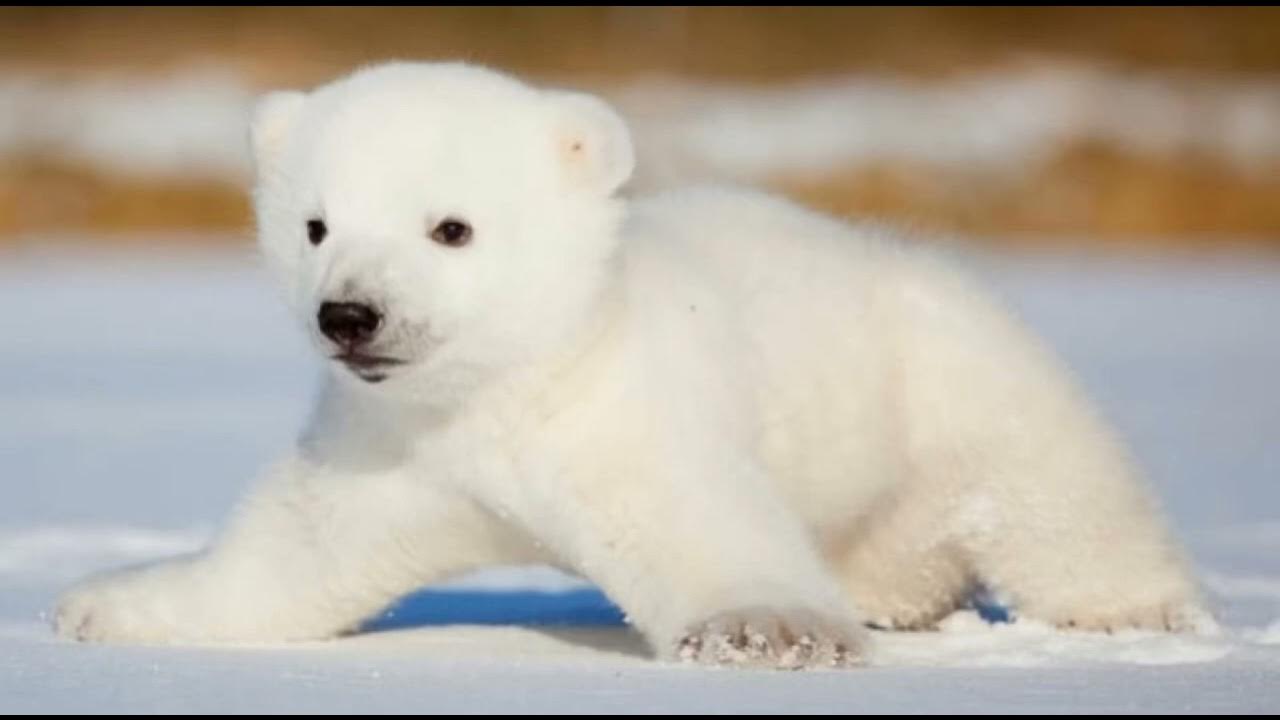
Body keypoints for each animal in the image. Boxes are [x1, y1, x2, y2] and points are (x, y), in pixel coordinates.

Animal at [54, 62, 1211, 669]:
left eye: (451, 227)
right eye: (314, 224)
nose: (351, 316)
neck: (505, 389)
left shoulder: (617, 415)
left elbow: (701, 523)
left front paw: (764, 632)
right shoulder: (393, 450)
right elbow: (287, 557)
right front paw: (103, 605)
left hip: (951, 376)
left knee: (1054, 492)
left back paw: (1137, 613)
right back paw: (889, 596)